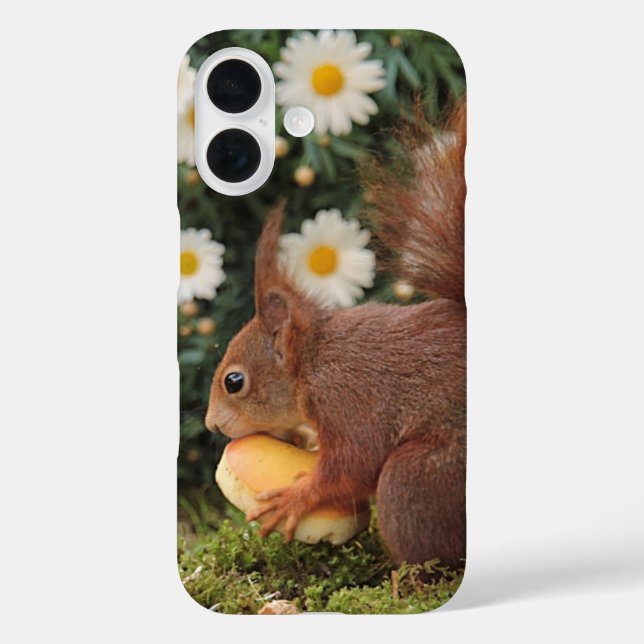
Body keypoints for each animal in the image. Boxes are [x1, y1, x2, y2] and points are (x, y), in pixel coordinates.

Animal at [205, 102, 466, 569]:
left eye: (234, 381)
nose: (212, 424)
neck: (313, 360)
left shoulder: (348, 398)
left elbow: (352, 465)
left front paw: (295, 498)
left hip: (417, 480)